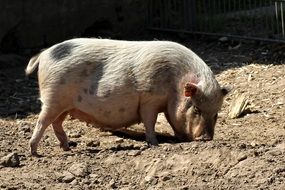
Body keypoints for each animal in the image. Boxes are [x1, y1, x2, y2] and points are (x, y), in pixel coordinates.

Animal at [26, 38, 226, 156]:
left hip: (65, 105)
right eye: (196, 108)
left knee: (56, 123)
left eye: (216, 114)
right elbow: (150, 121)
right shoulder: (149, 99)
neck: (174, 85)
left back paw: (66, 147)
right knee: (42, 121)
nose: (206, 138)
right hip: (53, 97)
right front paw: (155, 144)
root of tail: (44, 54)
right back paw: (34, 151)